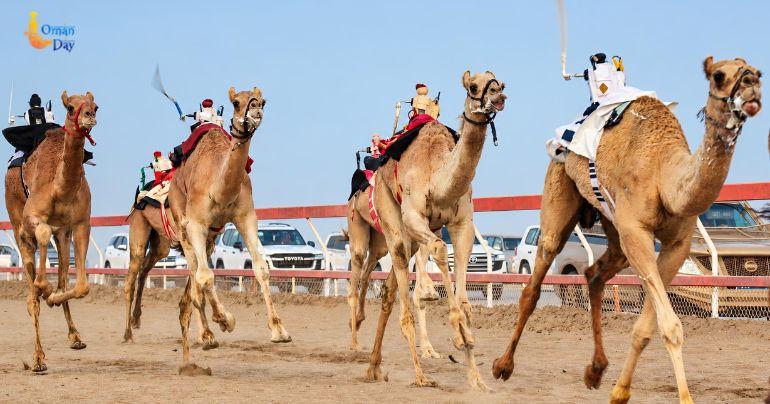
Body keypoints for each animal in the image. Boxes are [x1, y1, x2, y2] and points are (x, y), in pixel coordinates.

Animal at [4, 91, 98, 372]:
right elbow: (42, 236)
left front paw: (54, 297)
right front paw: (44, 289)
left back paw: (74, 336)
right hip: (17, 223)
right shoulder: (30, 219)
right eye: (70, 108)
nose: (90, 116)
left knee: (62, 274)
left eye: (96, 106)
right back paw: (37, 359)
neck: (60, 188)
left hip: (62, 234)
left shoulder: (80, 223)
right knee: (31, 293)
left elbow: (80, 286)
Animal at [168, 86, 291, 374]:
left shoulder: (246, 216)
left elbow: (261, 268)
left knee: (196, 278)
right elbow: (205, 277)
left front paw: (279, 331)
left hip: (212, 236)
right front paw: (225, 320)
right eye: (236, 103)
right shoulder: (196, 223)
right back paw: (207, 335)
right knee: (196, 274)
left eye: (263, 100)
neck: (220, 187)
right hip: (183, 226)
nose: (256, 110)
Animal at [355, 71, 505, 389]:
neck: (439, 177)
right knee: (401, 296)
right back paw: (420, 376)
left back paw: (374, 368)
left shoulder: (462, 224)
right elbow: (438, 248)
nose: (498, 97)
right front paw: (458, 334)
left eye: (500, 83)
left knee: (388, 293)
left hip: (409, 239)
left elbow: (463, 285)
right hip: (392, 221)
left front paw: (477, 378)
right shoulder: (414, 216)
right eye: (473, 86)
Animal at [491, 57, 762, 403]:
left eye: (757, 72)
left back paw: (595, 371)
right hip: (559, 185)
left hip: (613, 225)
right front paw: (683, 397)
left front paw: (620, 391)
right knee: (535, 282)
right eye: (718, 76)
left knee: (593, 274)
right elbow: (671, 327)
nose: (750, 88)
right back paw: (502, 366)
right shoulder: (637, 231)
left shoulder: (676, 245)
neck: (665, 175)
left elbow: (646, 327)